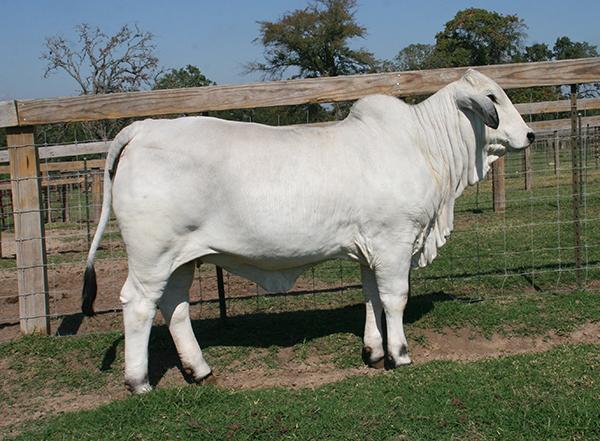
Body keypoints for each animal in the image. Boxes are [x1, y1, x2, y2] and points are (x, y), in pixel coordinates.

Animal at [81, 69, 536, 392]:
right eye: (493, 98)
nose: (530, 134)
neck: (423, 145)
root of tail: (144, 127)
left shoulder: (369, 247)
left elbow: (370, 297)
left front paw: (373, 351)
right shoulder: (393, 241)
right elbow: (394, 298)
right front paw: (399, 354)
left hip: (180, 259)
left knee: (174, 306)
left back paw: (199, 370)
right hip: (151, 255)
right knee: (138, 304)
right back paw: (139, 382)